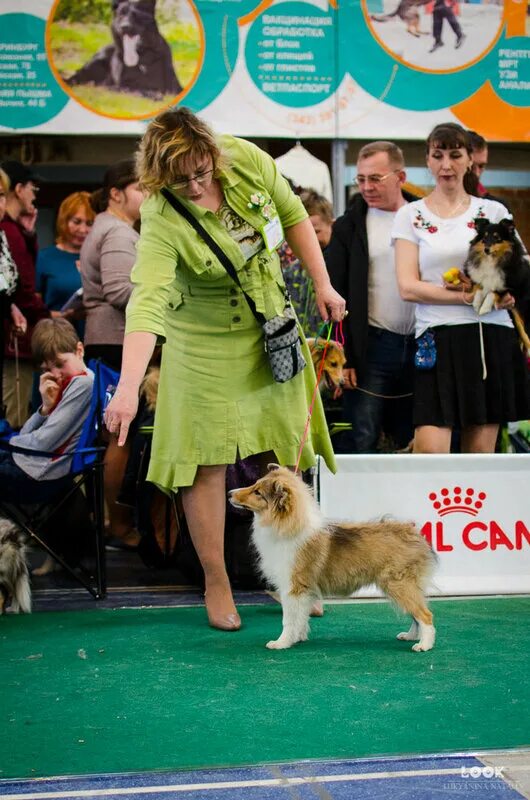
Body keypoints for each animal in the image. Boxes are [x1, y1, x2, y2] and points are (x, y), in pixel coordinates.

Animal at [229, 466, 436, 652]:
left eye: (257, 492)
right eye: (254, 484)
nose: (230, 493)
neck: (285, 526)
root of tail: (414, 534)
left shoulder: (293, 587)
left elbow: (288, 619)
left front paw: (281, 643)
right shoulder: (304, 591)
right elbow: (301, 617)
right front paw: (298, 638)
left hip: (399, 584)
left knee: (425, 615)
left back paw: (423, 645)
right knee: (416, 615)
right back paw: (410, 636)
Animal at [462, 216, 528, 350]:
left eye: (497, 237)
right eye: (484, 237)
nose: (486, 249)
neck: (492, 260)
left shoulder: (511, 287)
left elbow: (493, 292)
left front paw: (484, 308)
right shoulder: (474, 276)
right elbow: (478, 286)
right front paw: (477, 303)